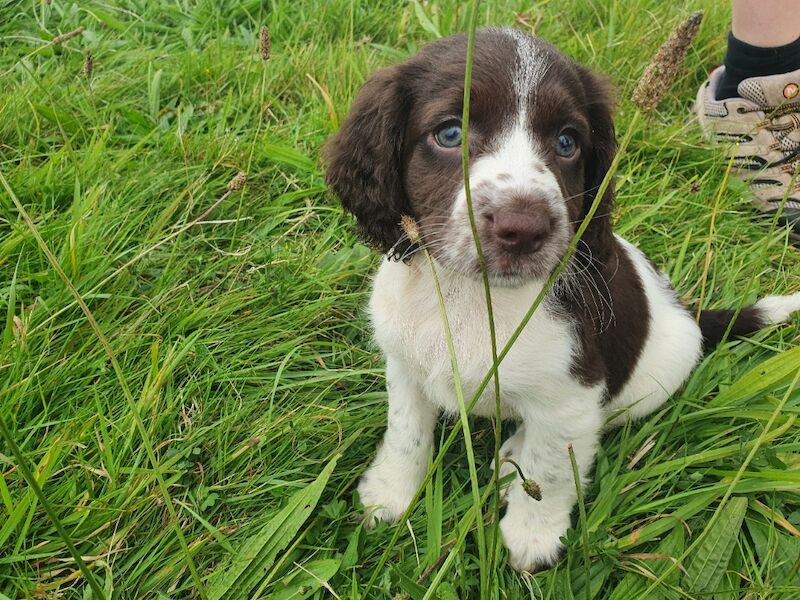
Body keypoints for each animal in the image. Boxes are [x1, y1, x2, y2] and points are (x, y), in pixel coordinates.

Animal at [322, 28, 796, 572]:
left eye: (568, 142)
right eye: (450, 134)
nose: (524, 228)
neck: (474, 296)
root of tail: (686, 311)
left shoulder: (575, 393)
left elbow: (551, 471)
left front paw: (533, 537)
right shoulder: (405, 365)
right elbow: (406, 433)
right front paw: (389, 493)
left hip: (647, 385)